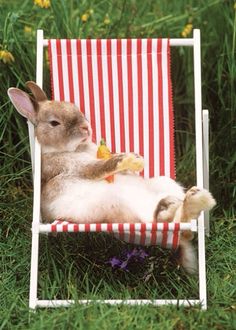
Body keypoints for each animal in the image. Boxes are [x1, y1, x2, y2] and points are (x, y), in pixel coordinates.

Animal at [8, 82, 217, 274]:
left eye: (73, 106)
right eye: (54, 123)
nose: (86, 127)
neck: (75, 149)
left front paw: (136, 161)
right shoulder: (74, 166)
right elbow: (101, 167)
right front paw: (127, 159)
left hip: (164, 183)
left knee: (184, 227)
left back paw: (193, 199)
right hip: (122, 212)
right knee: (166, 223)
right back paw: (181, 204)